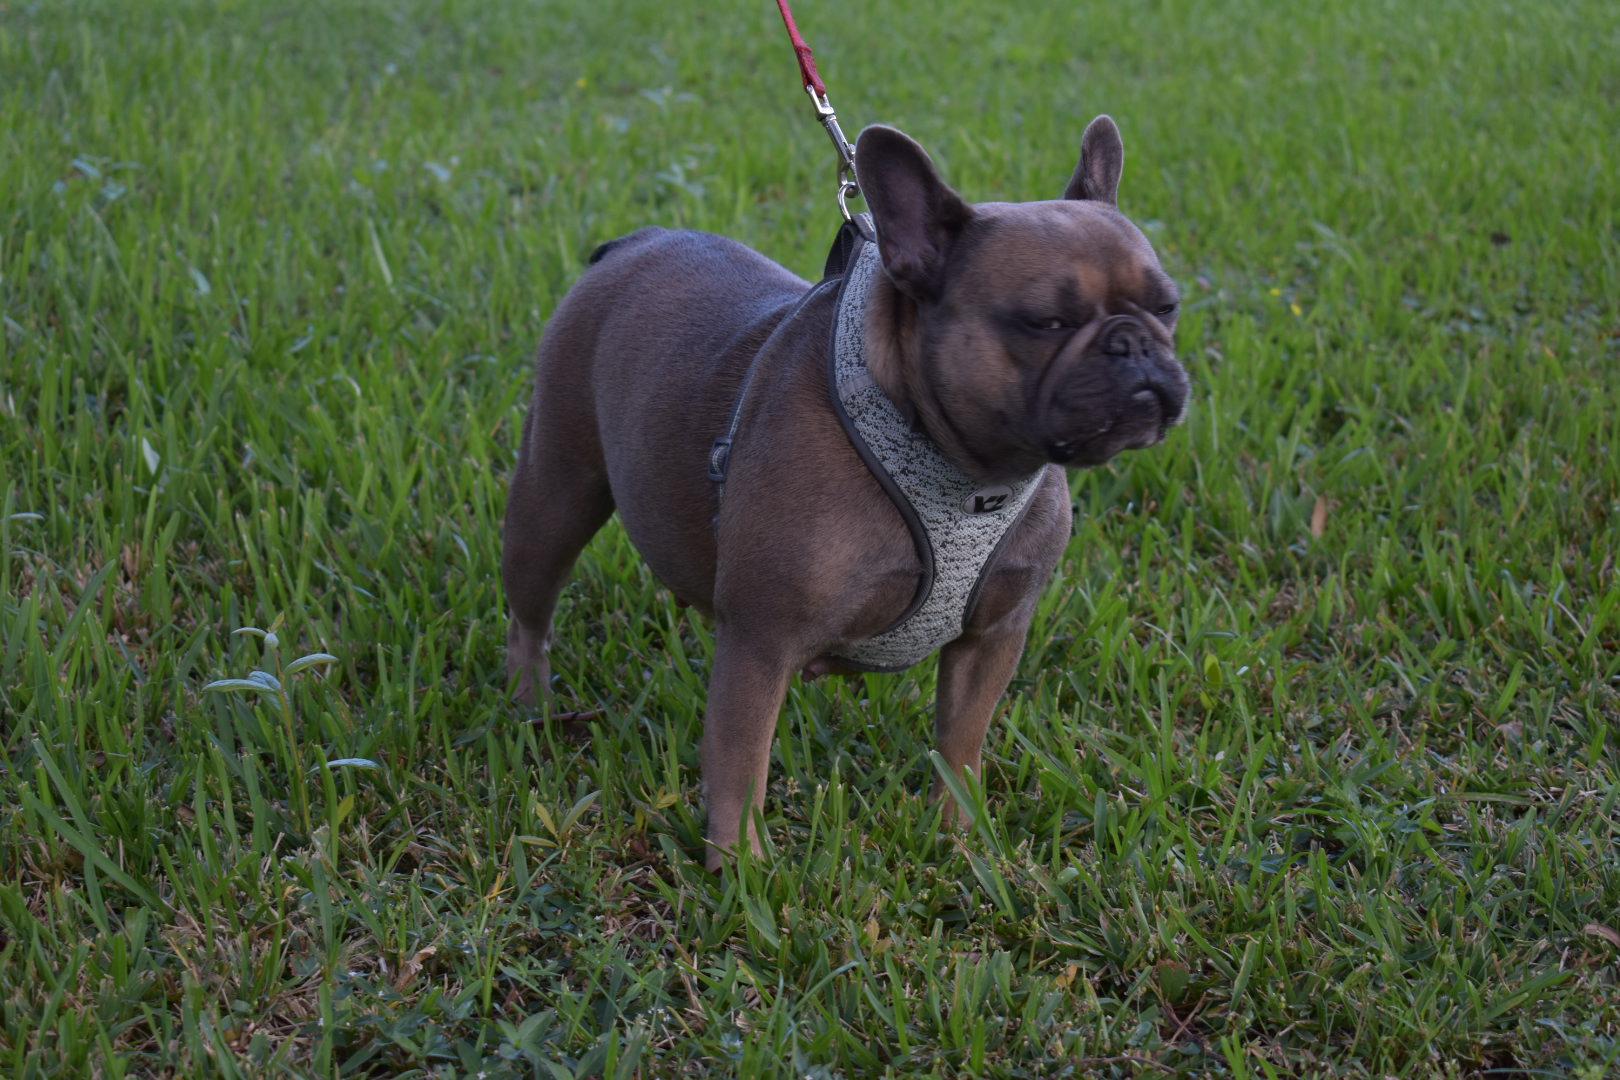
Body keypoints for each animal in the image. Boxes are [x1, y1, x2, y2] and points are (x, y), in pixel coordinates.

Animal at [503, 116, 1188, 868]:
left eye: (1168, 307)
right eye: (1048, 323)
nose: (1135, 344)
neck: (967, 474)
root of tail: (633, 243)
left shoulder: (994, 635)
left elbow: (962, 741)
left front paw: (959, 838)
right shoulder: (761, 642)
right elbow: (741, 761)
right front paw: (742, 869)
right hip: (555, 496)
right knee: (532, 611)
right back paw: (531, 704)